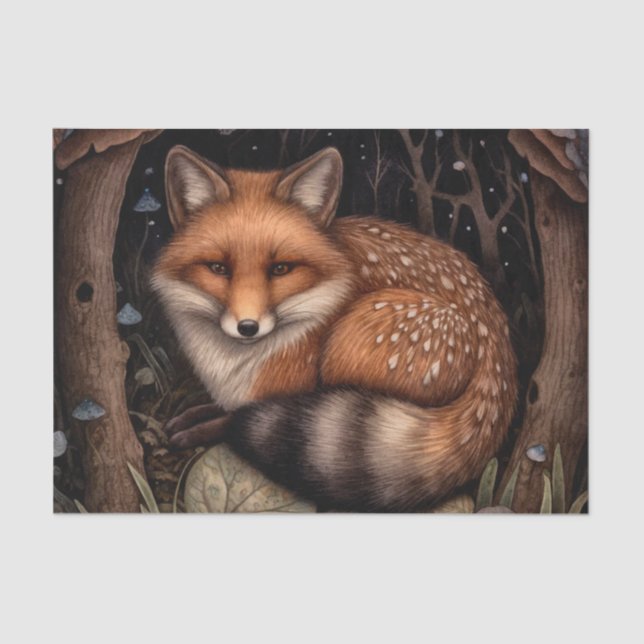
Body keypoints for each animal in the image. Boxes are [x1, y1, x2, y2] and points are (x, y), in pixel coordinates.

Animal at [151, 144, 518, 512]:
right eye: (218, 268)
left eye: (280, 269)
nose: (248, 327)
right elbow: (220, 407)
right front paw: (191, 416)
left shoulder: (288, 390)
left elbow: (237, 417)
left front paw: (195, 431)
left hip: (351, 339)